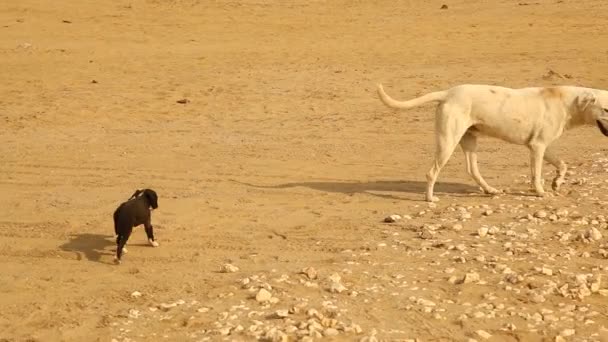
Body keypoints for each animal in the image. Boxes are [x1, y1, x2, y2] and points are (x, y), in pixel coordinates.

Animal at [376, 83, 608, 202]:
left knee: (472, 170)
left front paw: (557, 183)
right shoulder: (537, 147)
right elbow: (536, 175)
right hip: (447, 142)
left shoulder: (543, 146)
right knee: (431, 172)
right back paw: (430, 199)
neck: (567, 102)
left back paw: (490, 190)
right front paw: (541, 192)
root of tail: (448, 93)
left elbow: (563, 164)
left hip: (469, 141)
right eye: (606, 109)